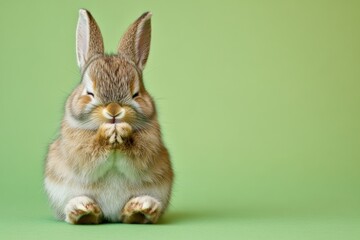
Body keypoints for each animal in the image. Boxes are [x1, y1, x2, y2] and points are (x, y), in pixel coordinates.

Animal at [44, 8, 174, 224]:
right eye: (89, 93)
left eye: (136, 94)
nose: (113, 111)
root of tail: (111, 215)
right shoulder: (77, 149)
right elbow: (89, 156)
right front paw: (107, 134)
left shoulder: (150, 147)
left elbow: (136, 156)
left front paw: (121, 132)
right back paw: (82, 210)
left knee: (131, 215)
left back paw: (141, 208)